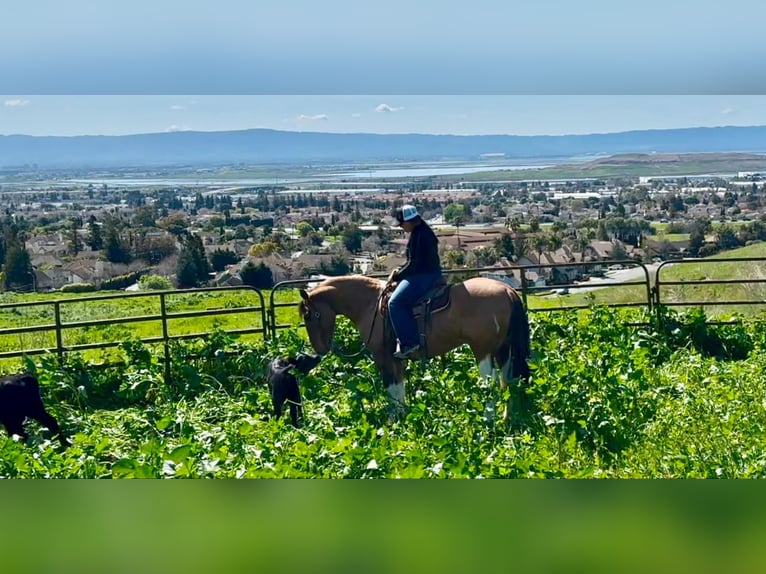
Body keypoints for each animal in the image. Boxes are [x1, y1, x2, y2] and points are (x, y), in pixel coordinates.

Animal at [300, 276, 536, 426]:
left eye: (309, 315)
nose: (320, 350)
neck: (371, 305)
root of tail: (507, 291)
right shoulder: (395, 358)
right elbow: (399, 387)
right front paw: (403, 416)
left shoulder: (382, 357)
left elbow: (391, 387)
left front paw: (393, 421)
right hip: (504, 349)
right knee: (509, 381)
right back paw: (508, 419)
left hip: (483, 350)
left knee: (490, 383)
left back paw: (489, 422)